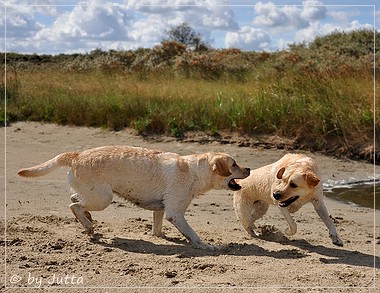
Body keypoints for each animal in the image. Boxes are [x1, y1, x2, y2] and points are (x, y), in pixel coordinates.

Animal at [18, 144, 249, 249]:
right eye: (234, 164)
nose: (248, 168)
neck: (194, 171)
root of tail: (76, 155)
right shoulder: (175, 213)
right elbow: (193, 234)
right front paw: (206, 246)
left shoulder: (161, 210)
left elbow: (158, 228)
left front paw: (163, 237)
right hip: (103, 198)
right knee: (73, 205)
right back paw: (89, 225)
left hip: (94, 195)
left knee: (75, 200)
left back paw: (87, 220)